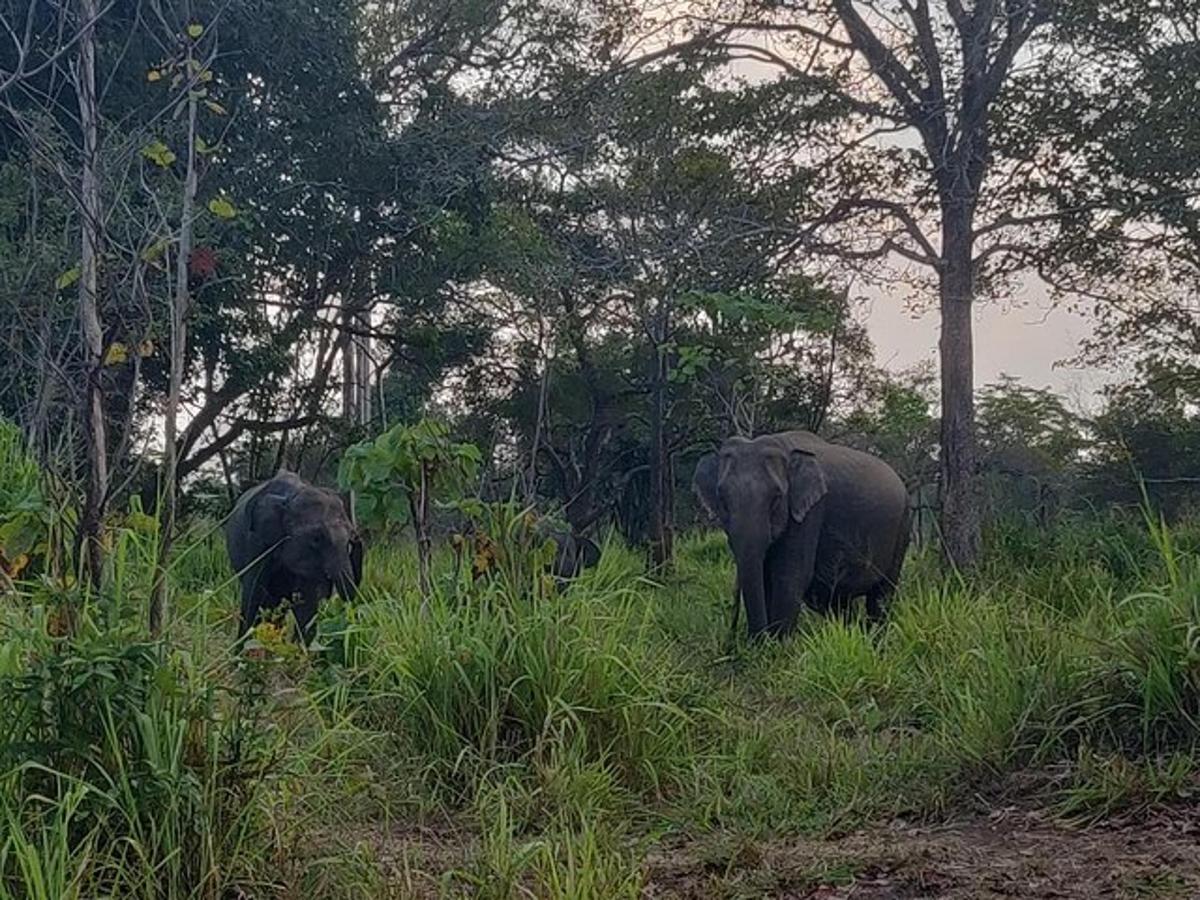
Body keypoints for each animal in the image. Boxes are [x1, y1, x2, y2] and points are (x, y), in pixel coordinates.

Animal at [225, 472, 362, 648]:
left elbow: (306, 605)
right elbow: (253, 594)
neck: (290, 498)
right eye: (316, 539)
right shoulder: (256, 543)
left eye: (349, 542)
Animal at [696, 432, 907, 638]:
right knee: (839, 602)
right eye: (722, 499)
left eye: (776, 497)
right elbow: (766, 578)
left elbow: (789, 578)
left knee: (881, 596)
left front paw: (777, 647)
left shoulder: (809, 514)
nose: (733, 638)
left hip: (903, 527)